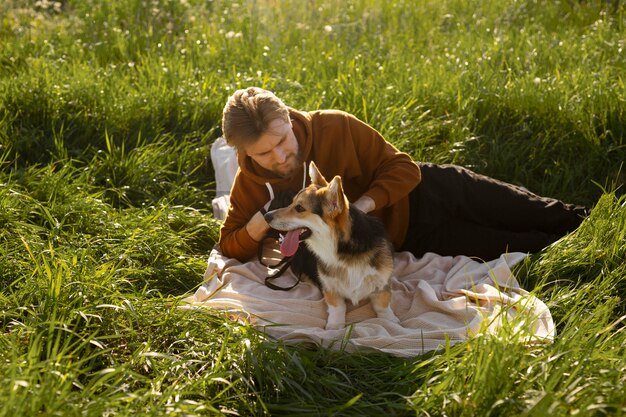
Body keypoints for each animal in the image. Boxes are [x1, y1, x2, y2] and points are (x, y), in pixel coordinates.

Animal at [262, 161, 398, 330]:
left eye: (299, 208)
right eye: (291, 202)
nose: (266, 216)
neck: (342, 250)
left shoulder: (382, 283)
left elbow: (383, 305)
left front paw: (390, 321)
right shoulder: (330, 288)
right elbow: (337, 307)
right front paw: (335, 328)